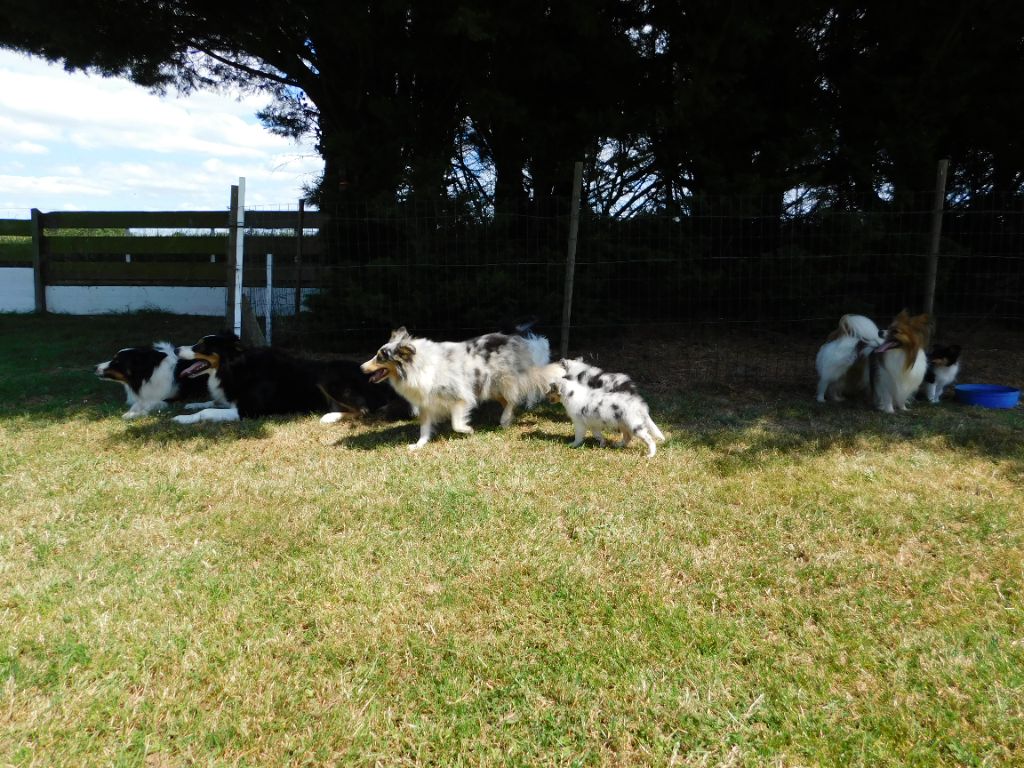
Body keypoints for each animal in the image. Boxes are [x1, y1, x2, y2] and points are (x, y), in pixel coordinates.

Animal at [169, 331, 405, 423]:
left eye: (200, 346)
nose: (176, 349)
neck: (234, 366)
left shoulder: (248, 411)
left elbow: (207, 411)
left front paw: (182, 418)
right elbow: (211, 402)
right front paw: (190, 405)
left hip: (328, 375)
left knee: (364, 410)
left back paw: (330, 417)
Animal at [362, 325, 552, 450]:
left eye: (380, 357)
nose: (361, 367)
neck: (417, 366)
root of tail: (518, 340)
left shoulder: (460, 397)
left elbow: (456, 423)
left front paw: (468, 430)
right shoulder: (426, 403)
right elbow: (424, 428)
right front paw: (418, 445)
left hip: (502, 380)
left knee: (515, 397)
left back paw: (505, 419)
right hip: (491, 386)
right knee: (508, 401)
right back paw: (506, 420)